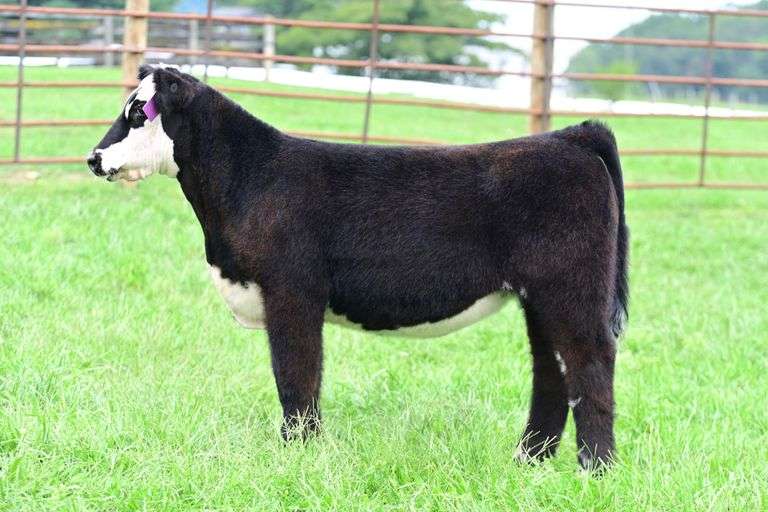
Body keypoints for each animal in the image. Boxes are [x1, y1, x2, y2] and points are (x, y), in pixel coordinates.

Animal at [87, 65, 628, 471]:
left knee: (589, 362)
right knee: (552, 369)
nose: (93, 158)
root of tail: (570, 137)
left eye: (136, 112)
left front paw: (297, 452)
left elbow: (296, 374)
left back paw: (594, 469)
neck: (251, 178)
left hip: (572, 290)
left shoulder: (291, 292)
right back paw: (528, 460)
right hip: (540, 298)